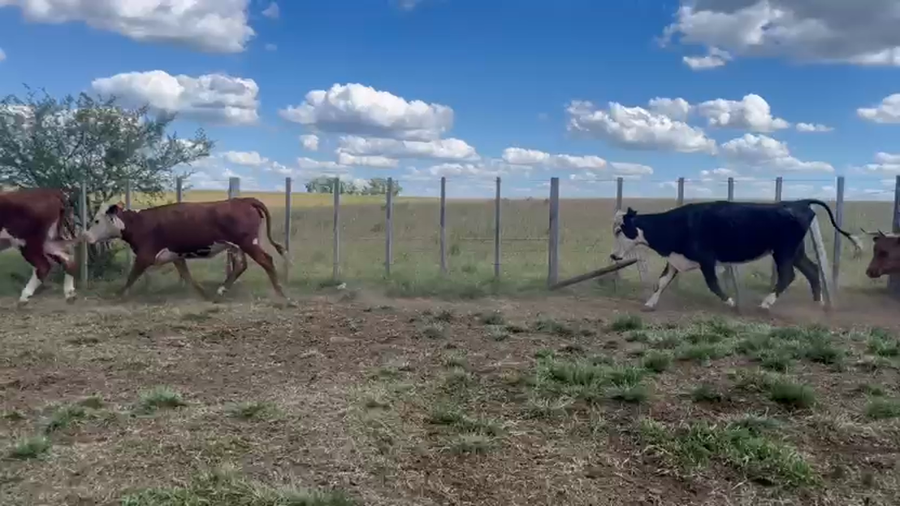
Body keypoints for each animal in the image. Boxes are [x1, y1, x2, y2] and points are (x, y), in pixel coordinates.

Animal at [81, 198, 289, 302]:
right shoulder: (176, 256)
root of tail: (244, 200)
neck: (138, 223)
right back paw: (220, 292)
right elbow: (188, 277)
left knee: (266, 261)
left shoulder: (145, 256)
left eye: (97, 220)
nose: (86, 236)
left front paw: (117, 296)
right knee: (240, 265)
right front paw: (203, 295)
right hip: (236, 246)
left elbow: (131, 277)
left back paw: (281, 294)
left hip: (248, 243)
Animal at [609, 199, 864, 311]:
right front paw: (650, 303)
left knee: (787, 275)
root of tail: (799, 203)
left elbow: (713, 284)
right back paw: (818, 302)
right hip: (796, 251)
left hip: (784, 251)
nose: (613, 256)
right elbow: (661, 282)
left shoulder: (707, 259)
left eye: (620, 230)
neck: (678, 224)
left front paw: (731, 301)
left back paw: (766, 303)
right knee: (811, 270)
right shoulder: (675, 259)